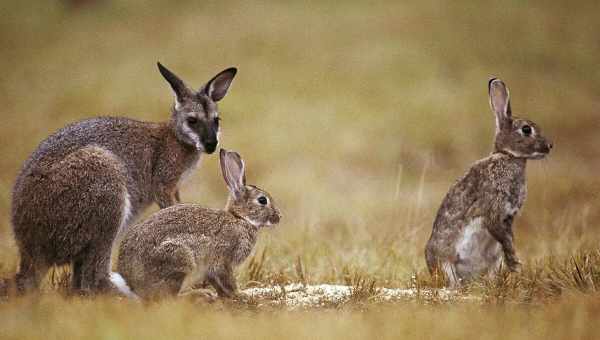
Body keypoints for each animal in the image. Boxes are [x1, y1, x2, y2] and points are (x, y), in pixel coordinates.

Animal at [11, 61, 237, 294]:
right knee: (93, 278)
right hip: (103, 185)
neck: (176, 139)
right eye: (192, 121)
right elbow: (170, 206)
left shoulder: (174, 187)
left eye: (216, 120)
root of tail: (30, 250)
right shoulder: (163, 181)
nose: (211, 145)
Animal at [112, 149, 282, 300]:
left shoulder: (211, 270)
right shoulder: (224, 260)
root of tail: (131, 282)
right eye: (262, 200)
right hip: (179, 259)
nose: (279, 217)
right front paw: (240, 294)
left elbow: (217, 283)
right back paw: (200, 294)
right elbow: (228, 280)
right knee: (169, 297)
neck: (240, 218)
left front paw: (224, 295)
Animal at [424, 78, 552, 286]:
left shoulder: (508, 218)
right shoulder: (494, 209)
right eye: (526, 129)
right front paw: (516, 264)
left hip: (493, 260)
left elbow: (508, 239)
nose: (549, 146)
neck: (508, 156)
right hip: (445, 262)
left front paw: (515, 264)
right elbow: (501, 234)